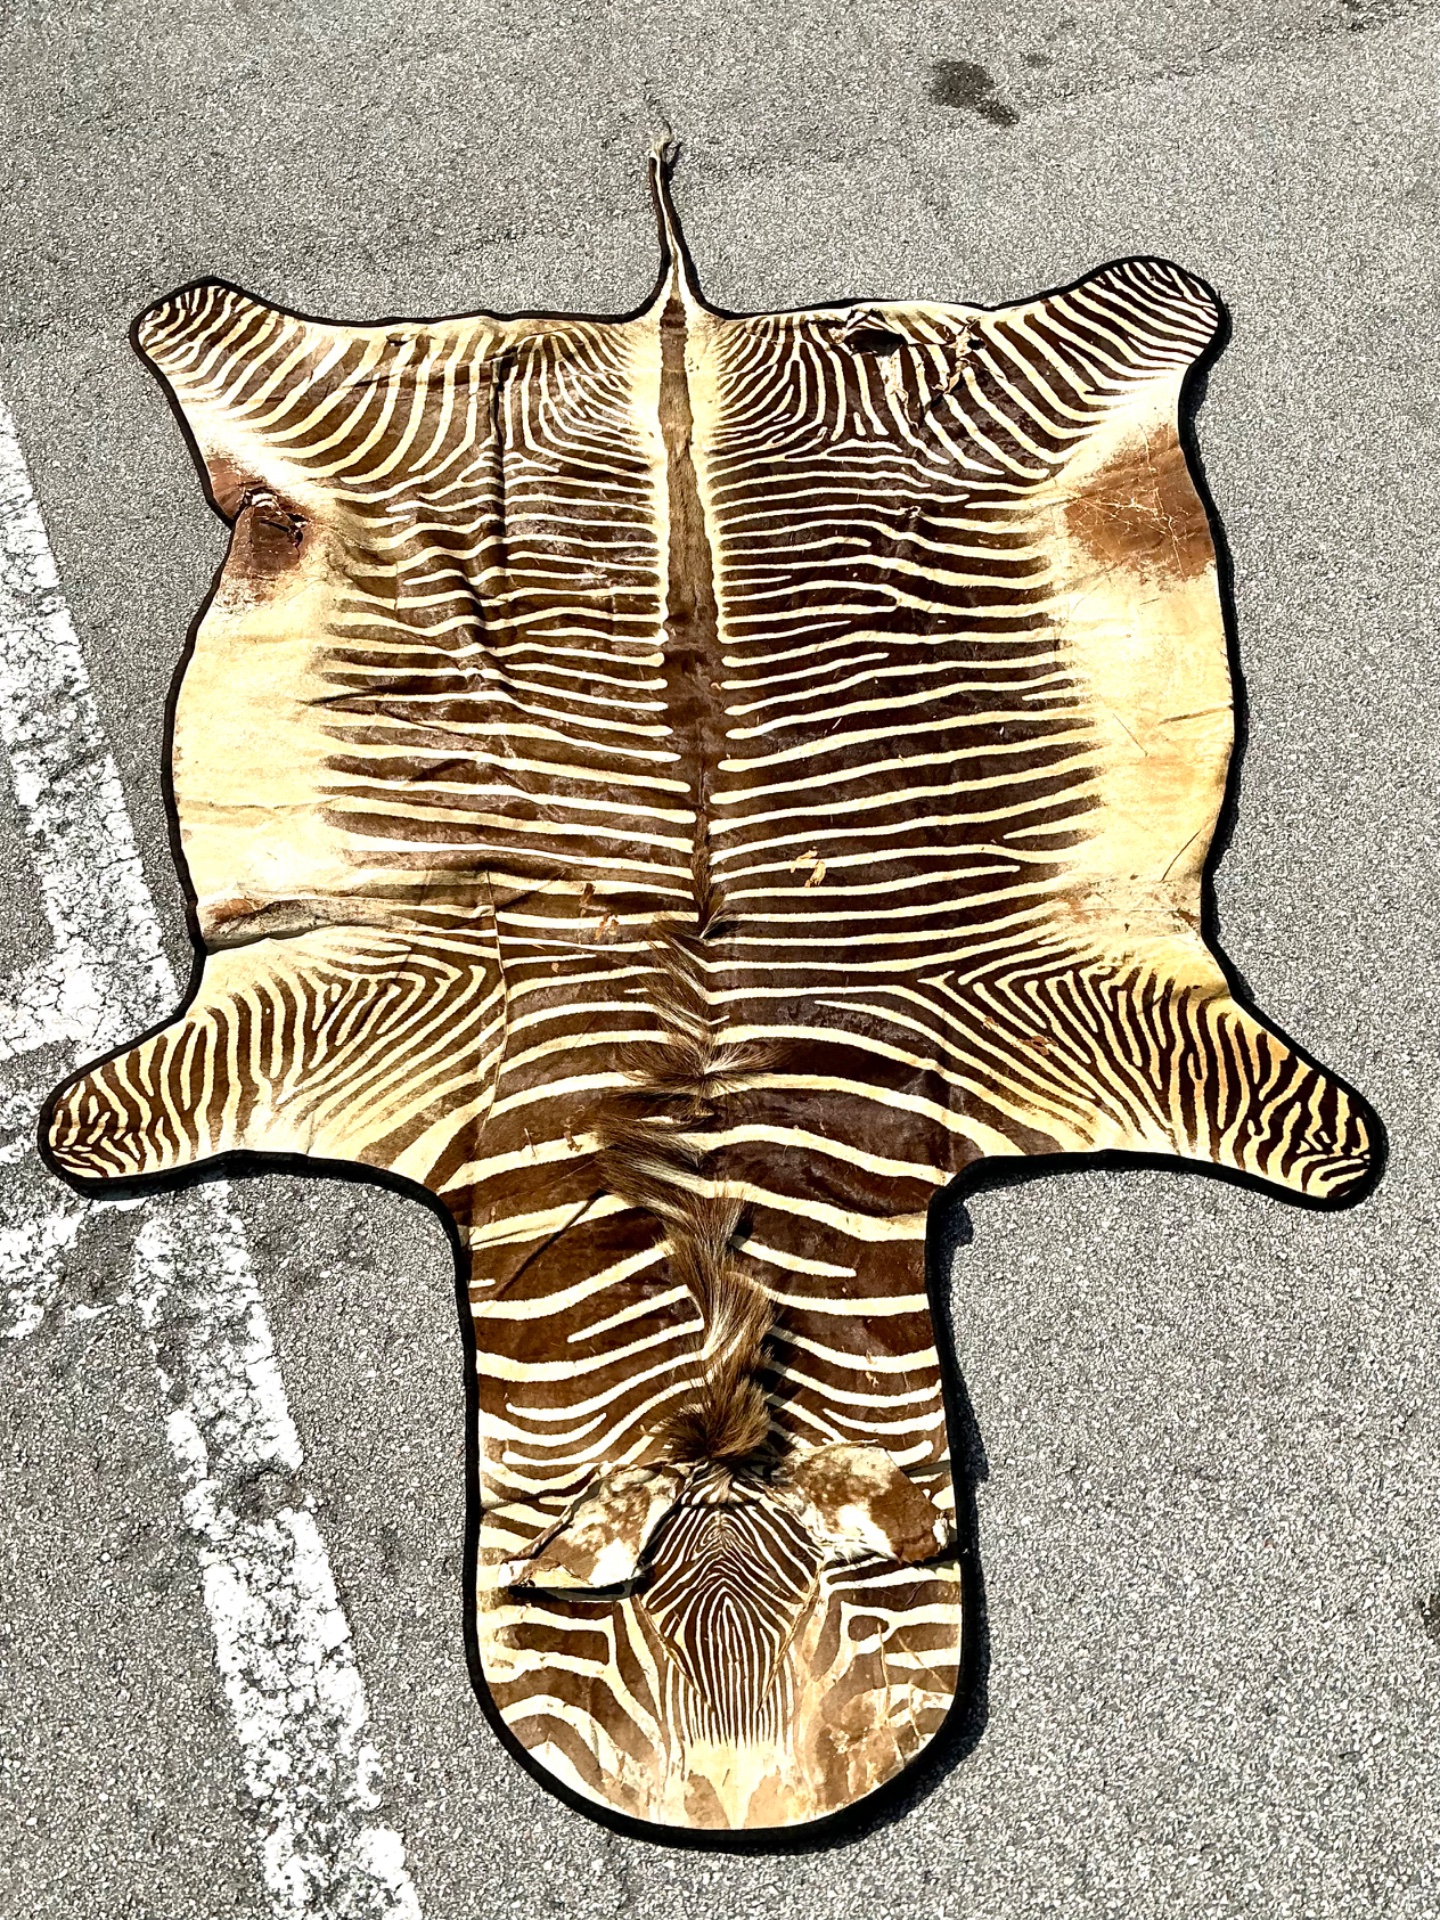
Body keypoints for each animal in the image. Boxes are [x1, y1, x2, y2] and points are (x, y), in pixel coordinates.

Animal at [43, 147, 1376, 1836]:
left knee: (1123, 311)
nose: (739, 1802)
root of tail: (677, 326)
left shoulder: (1055, 1009)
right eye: (595, 1622)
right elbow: (134, 1107)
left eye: (864, 1613)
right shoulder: (351, 1018)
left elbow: (1281, 1113)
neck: (710, 1148)